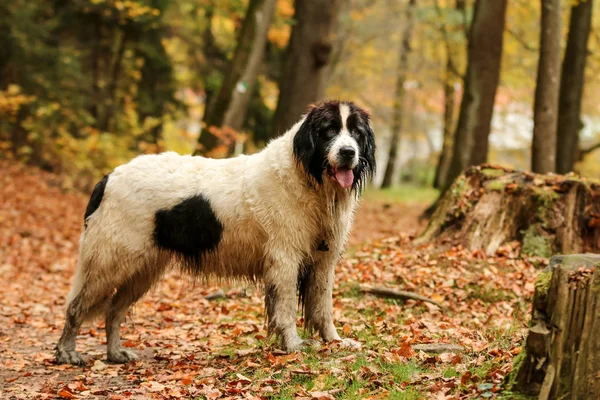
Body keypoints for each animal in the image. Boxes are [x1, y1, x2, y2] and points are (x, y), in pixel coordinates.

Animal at [56, 98, 376, 364]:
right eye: (328, 131)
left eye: (356, 133)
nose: (348, 153)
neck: (309, 179)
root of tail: (108, 177)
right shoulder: (284, 259)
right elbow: (285, 308)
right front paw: (294, 345)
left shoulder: (323, 260)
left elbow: (323, 306)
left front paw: (334, 341)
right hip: (110, 261)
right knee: (76, 306)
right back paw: (67, 353)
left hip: (142, 269)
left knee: (113, 311)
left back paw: (114, 354)